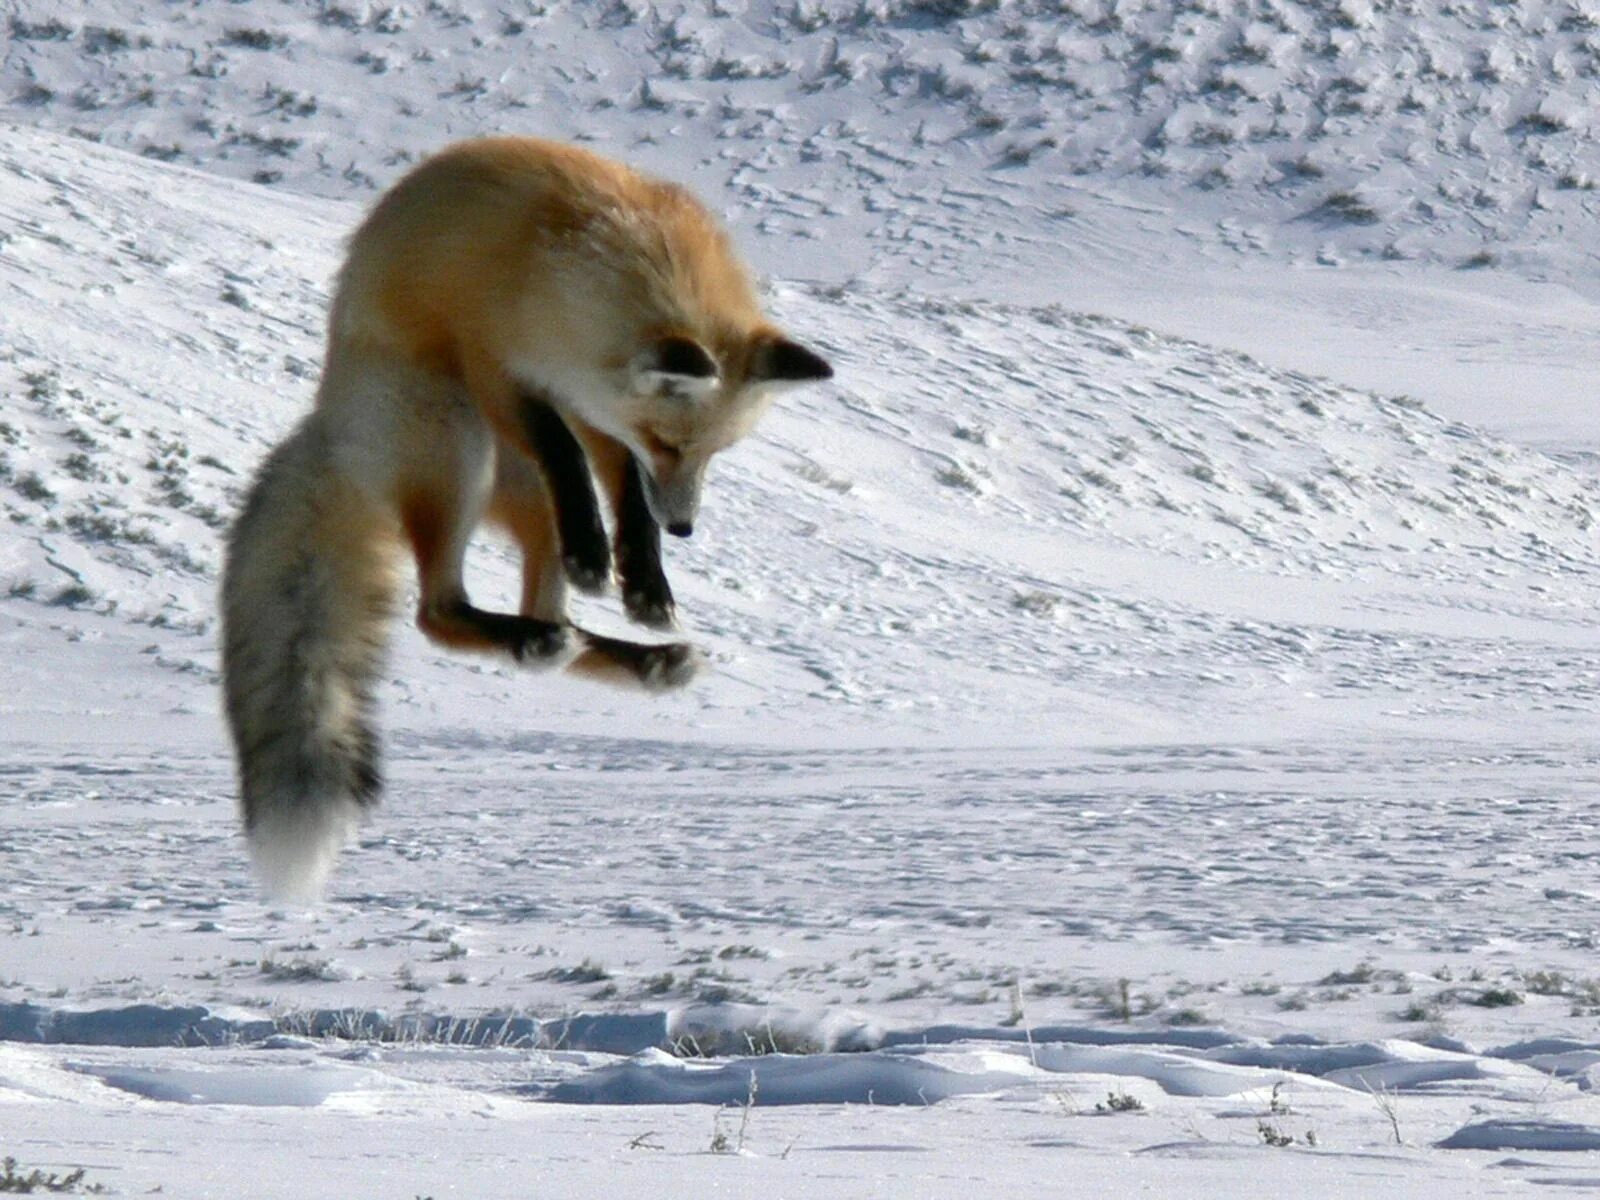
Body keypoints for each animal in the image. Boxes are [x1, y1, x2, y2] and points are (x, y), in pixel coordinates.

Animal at [219, 138, 832, 902]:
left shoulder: (595, 402)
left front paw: (644, 580)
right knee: (439, 610)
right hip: (461, 444)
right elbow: (563, 449)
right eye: (670, 443)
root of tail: (331, 421)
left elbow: (623, 491)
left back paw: (617, 652)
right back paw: (542, 627)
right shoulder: (499, 361)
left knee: (549, 606)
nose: (687, 527)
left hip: (524, 498)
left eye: (715, 452)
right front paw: (609, 557)